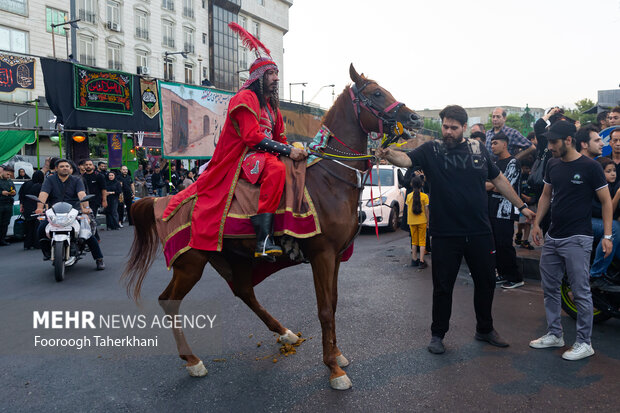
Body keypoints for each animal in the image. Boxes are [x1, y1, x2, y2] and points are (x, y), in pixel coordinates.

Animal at [121, 65, 422, 390]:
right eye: (376, 93)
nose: (415, 119)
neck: (331, 180)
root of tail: (163, 200)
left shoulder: (337, 257)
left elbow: (334, 303)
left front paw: (337, 355)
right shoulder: (323, 254)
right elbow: (324, 309)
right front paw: (333, 369)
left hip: (234, 257)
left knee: (244, 291)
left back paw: (285, 333)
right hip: (191, 262)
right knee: (169, 302)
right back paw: (192, 361)